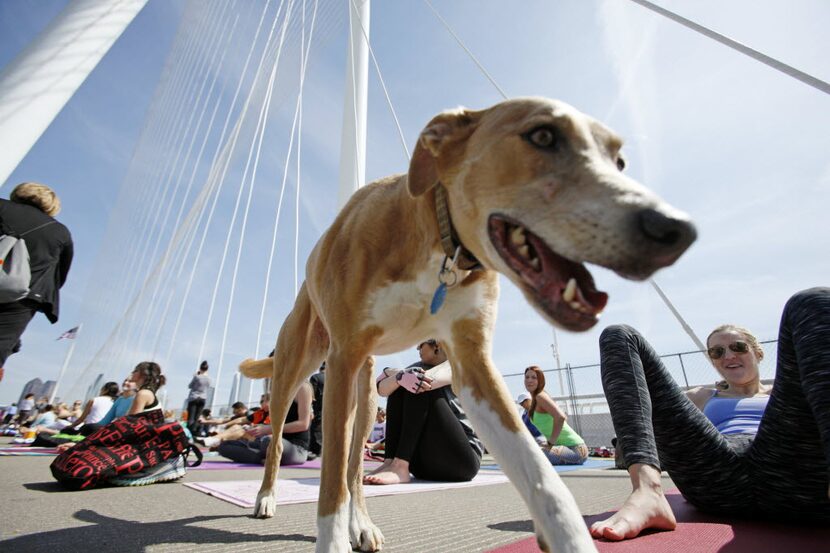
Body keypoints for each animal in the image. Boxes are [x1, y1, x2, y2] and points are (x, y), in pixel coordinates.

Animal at [244, 98, 700, 552]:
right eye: (542, 135)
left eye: (619, 161)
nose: (677, 229)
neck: (437, 239)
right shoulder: (344, 358)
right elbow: (330, 487)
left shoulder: (474, 367)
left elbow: (543, 479)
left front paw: (569, 537)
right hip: (300, 373)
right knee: (285, 444)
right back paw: (267, 497)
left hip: (365, 396)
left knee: (354, 466)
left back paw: (363, 524)